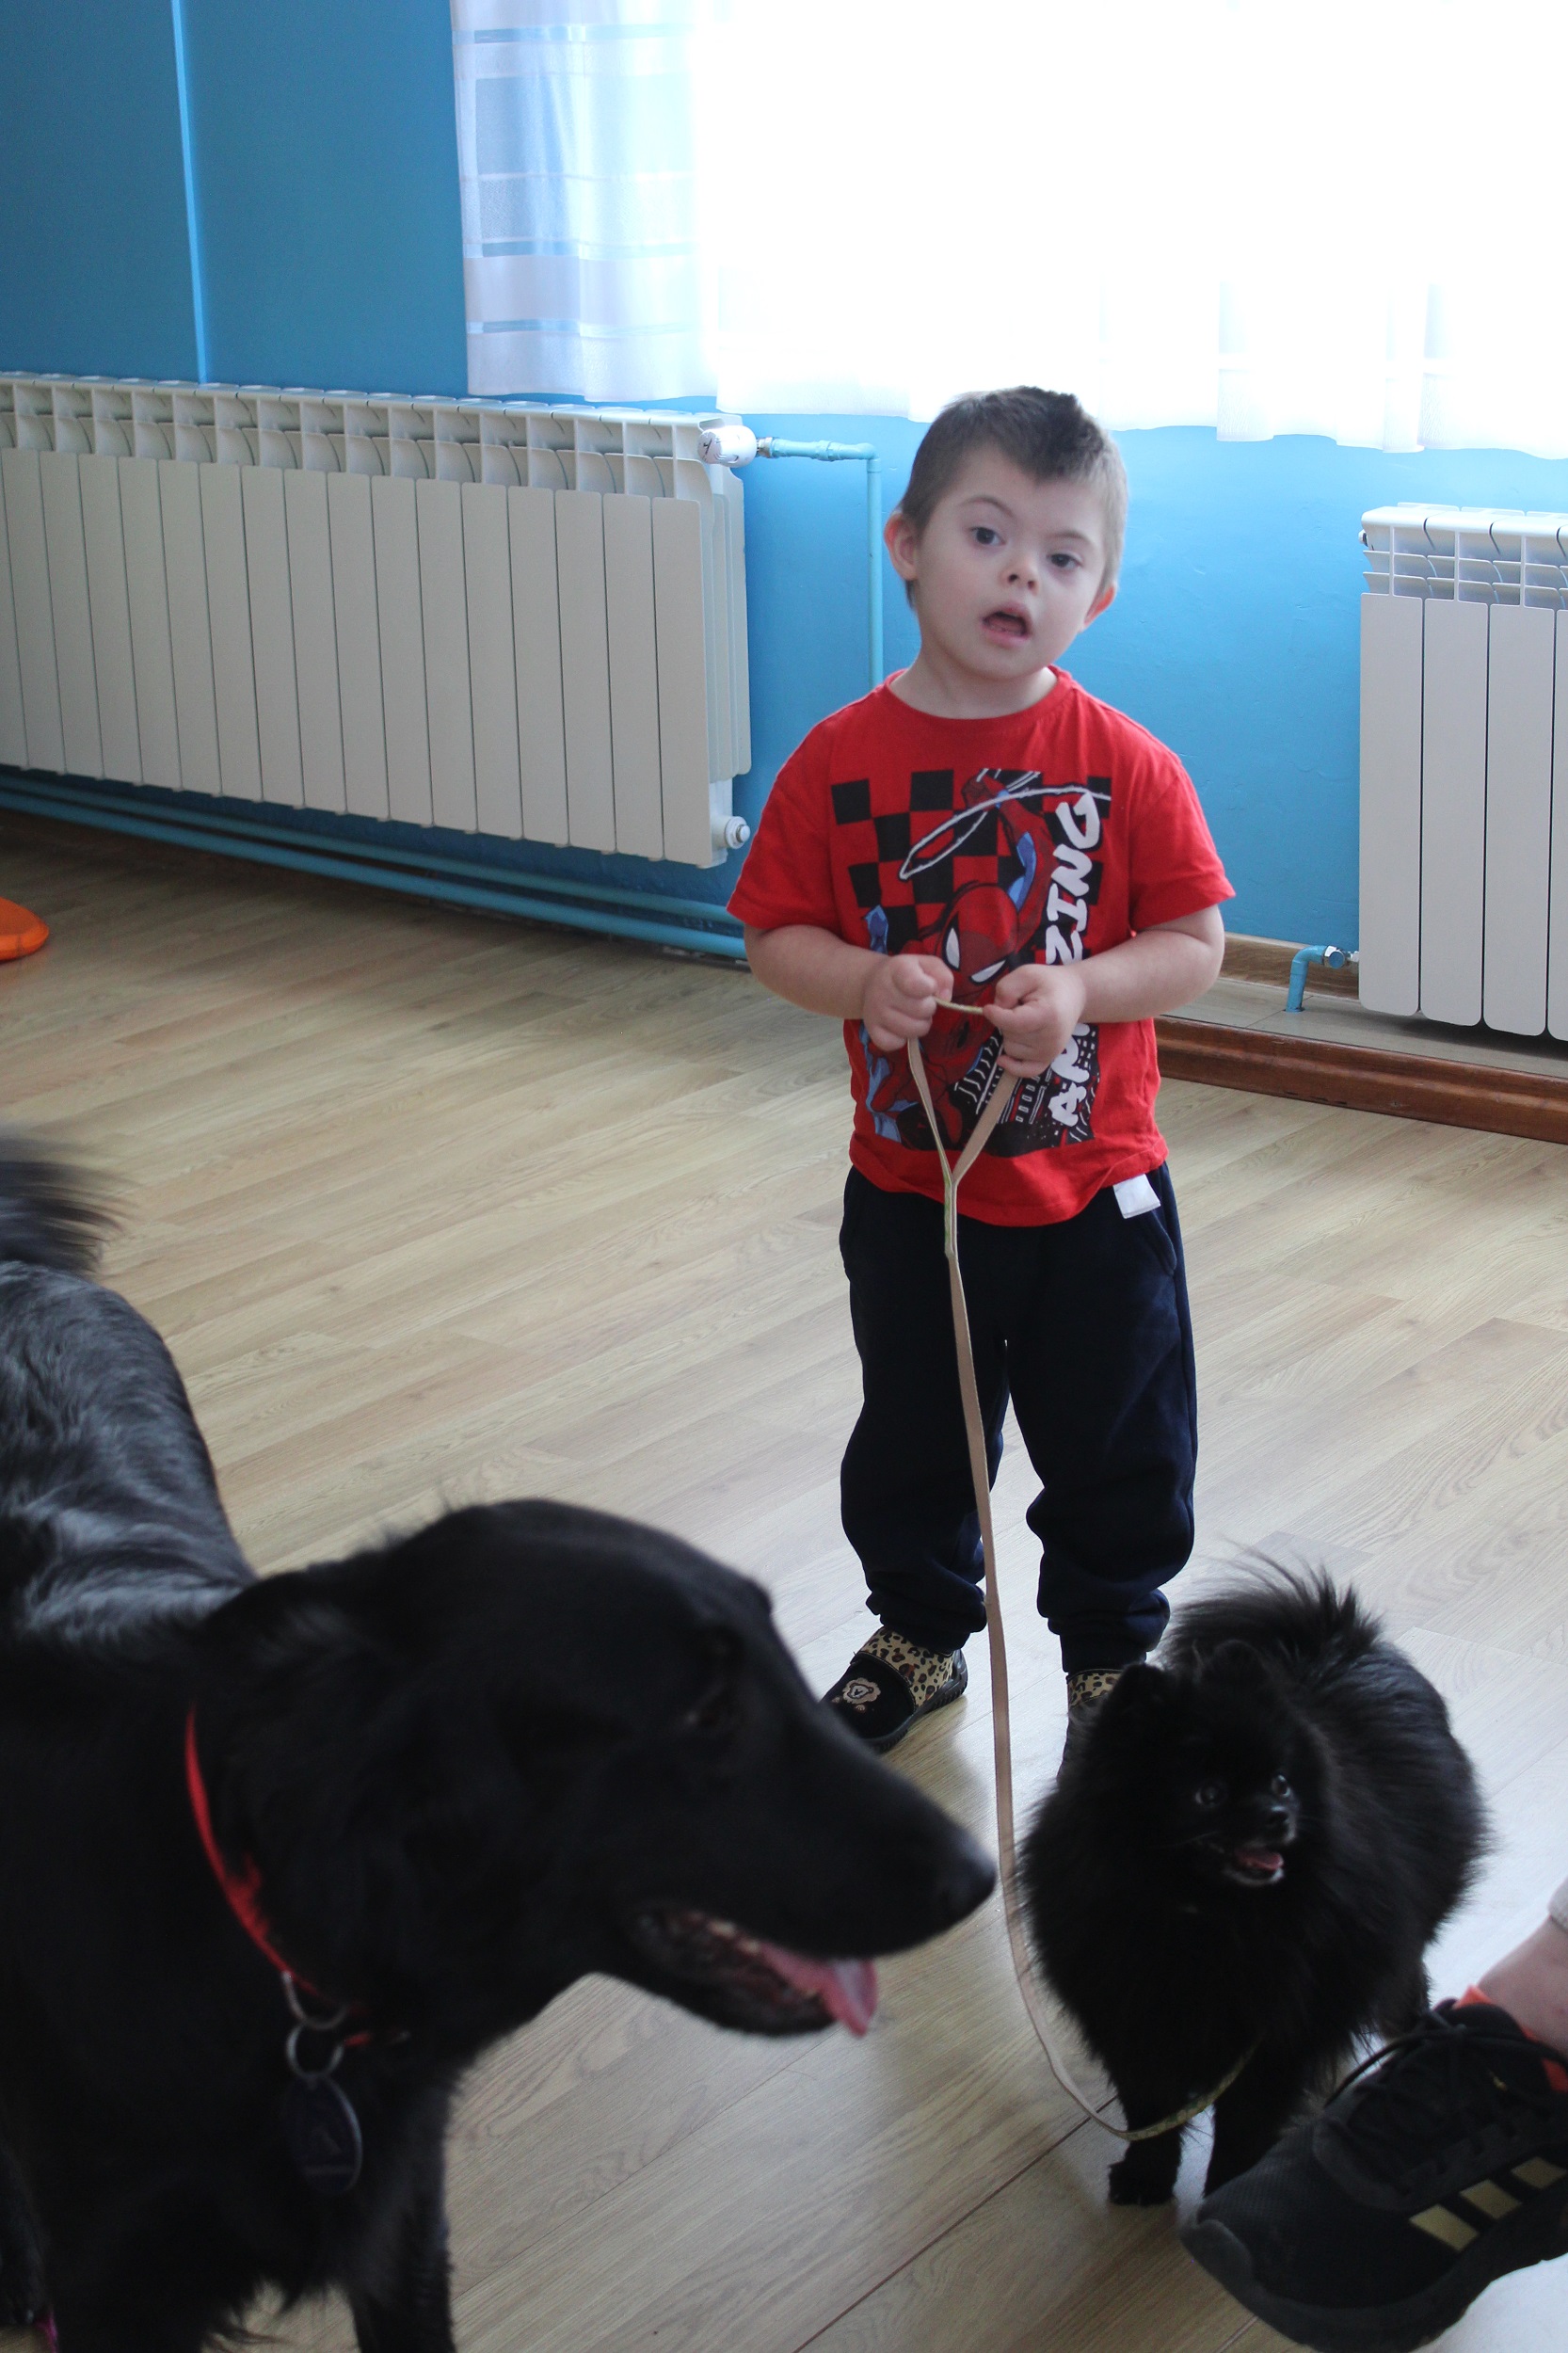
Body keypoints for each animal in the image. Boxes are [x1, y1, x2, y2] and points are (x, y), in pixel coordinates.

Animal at [1023, 1571, 1485, 2207]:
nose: (1277, 1815)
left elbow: (1245, 2125)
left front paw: (1226, 2192)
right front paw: (1146, 2178)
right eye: (1208, 1794)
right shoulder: (1135, 2020)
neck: (1200, 1915)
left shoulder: (1276, 2036)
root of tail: (1336, 1639)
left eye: (1281, 1782)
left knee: (1402, 1979)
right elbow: (1152, 2113)